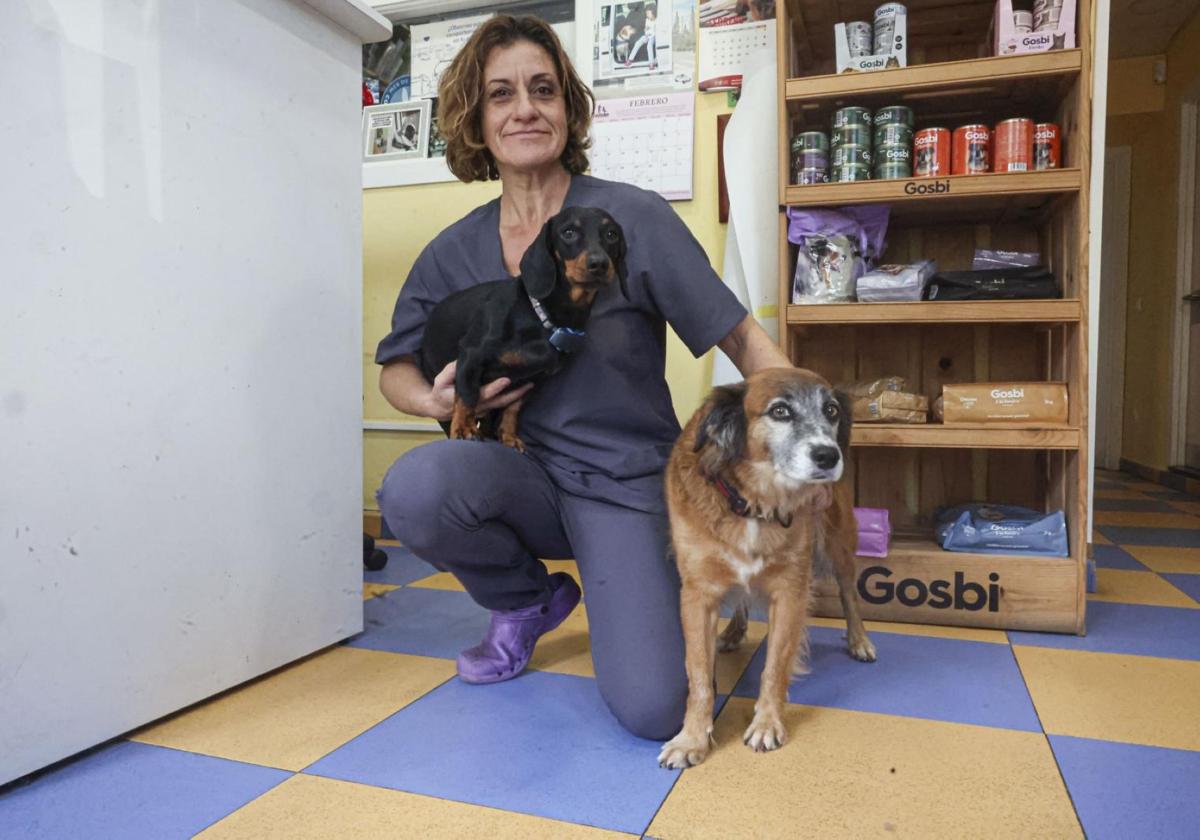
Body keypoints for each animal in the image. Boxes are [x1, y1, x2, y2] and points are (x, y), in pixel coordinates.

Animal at [662, 367, 878, 768]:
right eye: (780, 411)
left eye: (831, 410)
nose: (829, 455)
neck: (752, 502)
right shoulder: (698, 595)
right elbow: (698, 674)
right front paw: (692, 739)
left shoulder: (790, 591)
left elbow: (774, 667)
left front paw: (766, 724)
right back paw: (733, 632)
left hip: (838, 544)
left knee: (849, 595)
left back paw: (859, 641)